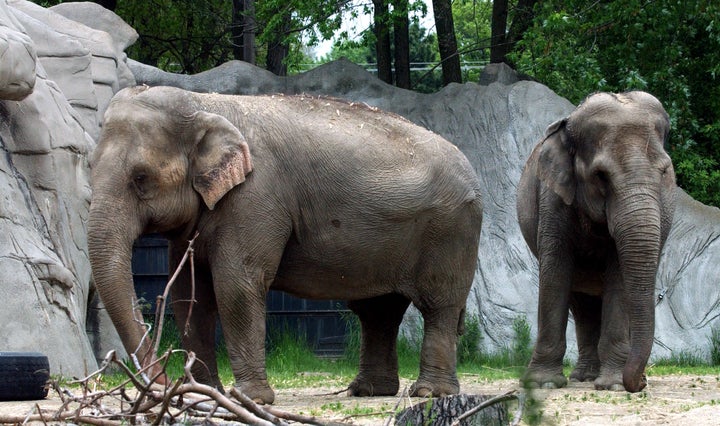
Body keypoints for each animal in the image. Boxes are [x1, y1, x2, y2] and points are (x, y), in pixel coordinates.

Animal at [88, 85, 484, 404]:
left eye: (141, 178)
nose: (160, 384)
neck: (203, 102)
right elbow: (191, 293)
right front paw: (204, 394)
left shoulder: (256, 196)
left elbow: (237, 284)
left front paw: (251, 399)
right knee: (378, 311)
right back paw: (370, 391)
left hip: (452, 229)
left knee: (438, 305)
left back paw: (430, 392)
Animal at [516, 90, 676, 392]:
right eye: (601, 176)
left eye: (664, 173)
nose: (636, 386)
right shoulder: (552, 198)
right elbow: (555, 272)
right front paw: (543, 384)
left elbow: (620, 277)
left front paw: (613, 385)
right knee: (581, 304)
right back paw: (585, 377)